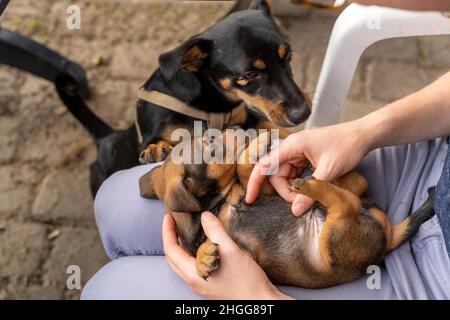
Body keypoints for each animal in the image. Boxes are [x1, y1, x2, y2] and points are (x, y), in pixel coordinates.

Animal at [54, 0, 312, 195]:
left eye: (288, 56)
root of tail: (106, 137)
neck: (212, 106)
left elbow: (272, 126)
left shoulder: (248, 117)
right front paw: (156, 149)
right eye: (249, 75)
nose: (304, 113)